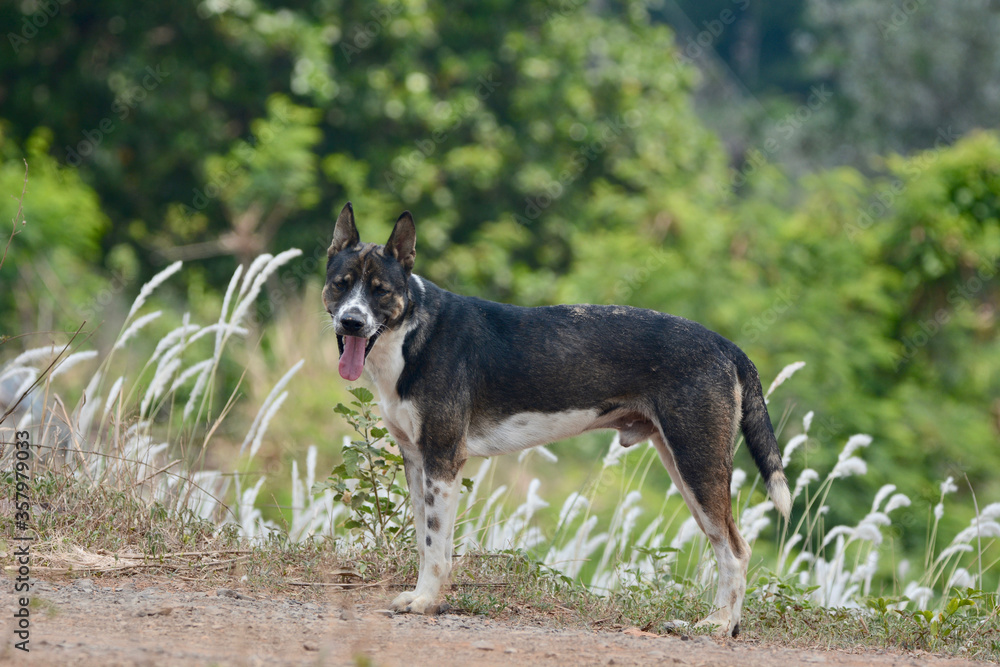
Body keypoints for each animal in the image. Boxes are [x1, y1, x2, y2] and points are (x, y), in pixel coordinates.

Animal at [324, 202, 792, 636]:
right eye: (340, 285)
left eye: (381, 291)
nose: (352, 321)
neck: (412, 336)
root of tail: (727, 346)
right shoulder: (416, 459)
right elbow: (425, 542)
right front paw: (420, 597)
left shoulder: (442, 459)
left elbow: (436, 546)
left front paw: (426, 603)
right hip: (684, 465)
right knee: (729, 548)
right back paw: (726, 623)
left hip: (698, 465)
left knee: (735, 552)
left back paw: (716, 626)